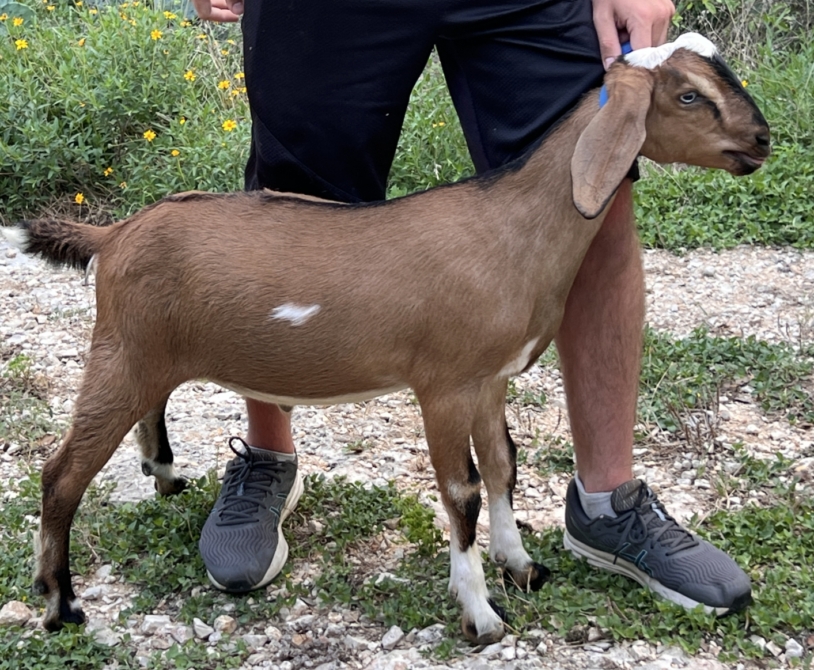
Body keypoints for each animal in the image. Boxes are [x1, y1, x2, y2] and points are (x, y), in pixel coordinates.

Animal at [1, 32, 772, 644]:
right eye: (690, 95)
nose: (762, 141)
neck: (511, 230)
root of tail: (115, 234)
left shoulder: (491, 381)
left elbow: (504, 467)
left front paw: (521, 567)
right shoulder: (445, 386)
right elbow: (461, 491)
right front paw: (481, 617)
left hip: (144, 356)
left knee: (140, 416)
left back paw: (161, 470)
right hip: (122, 353)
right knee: (60, 474)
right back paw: (60, 606)